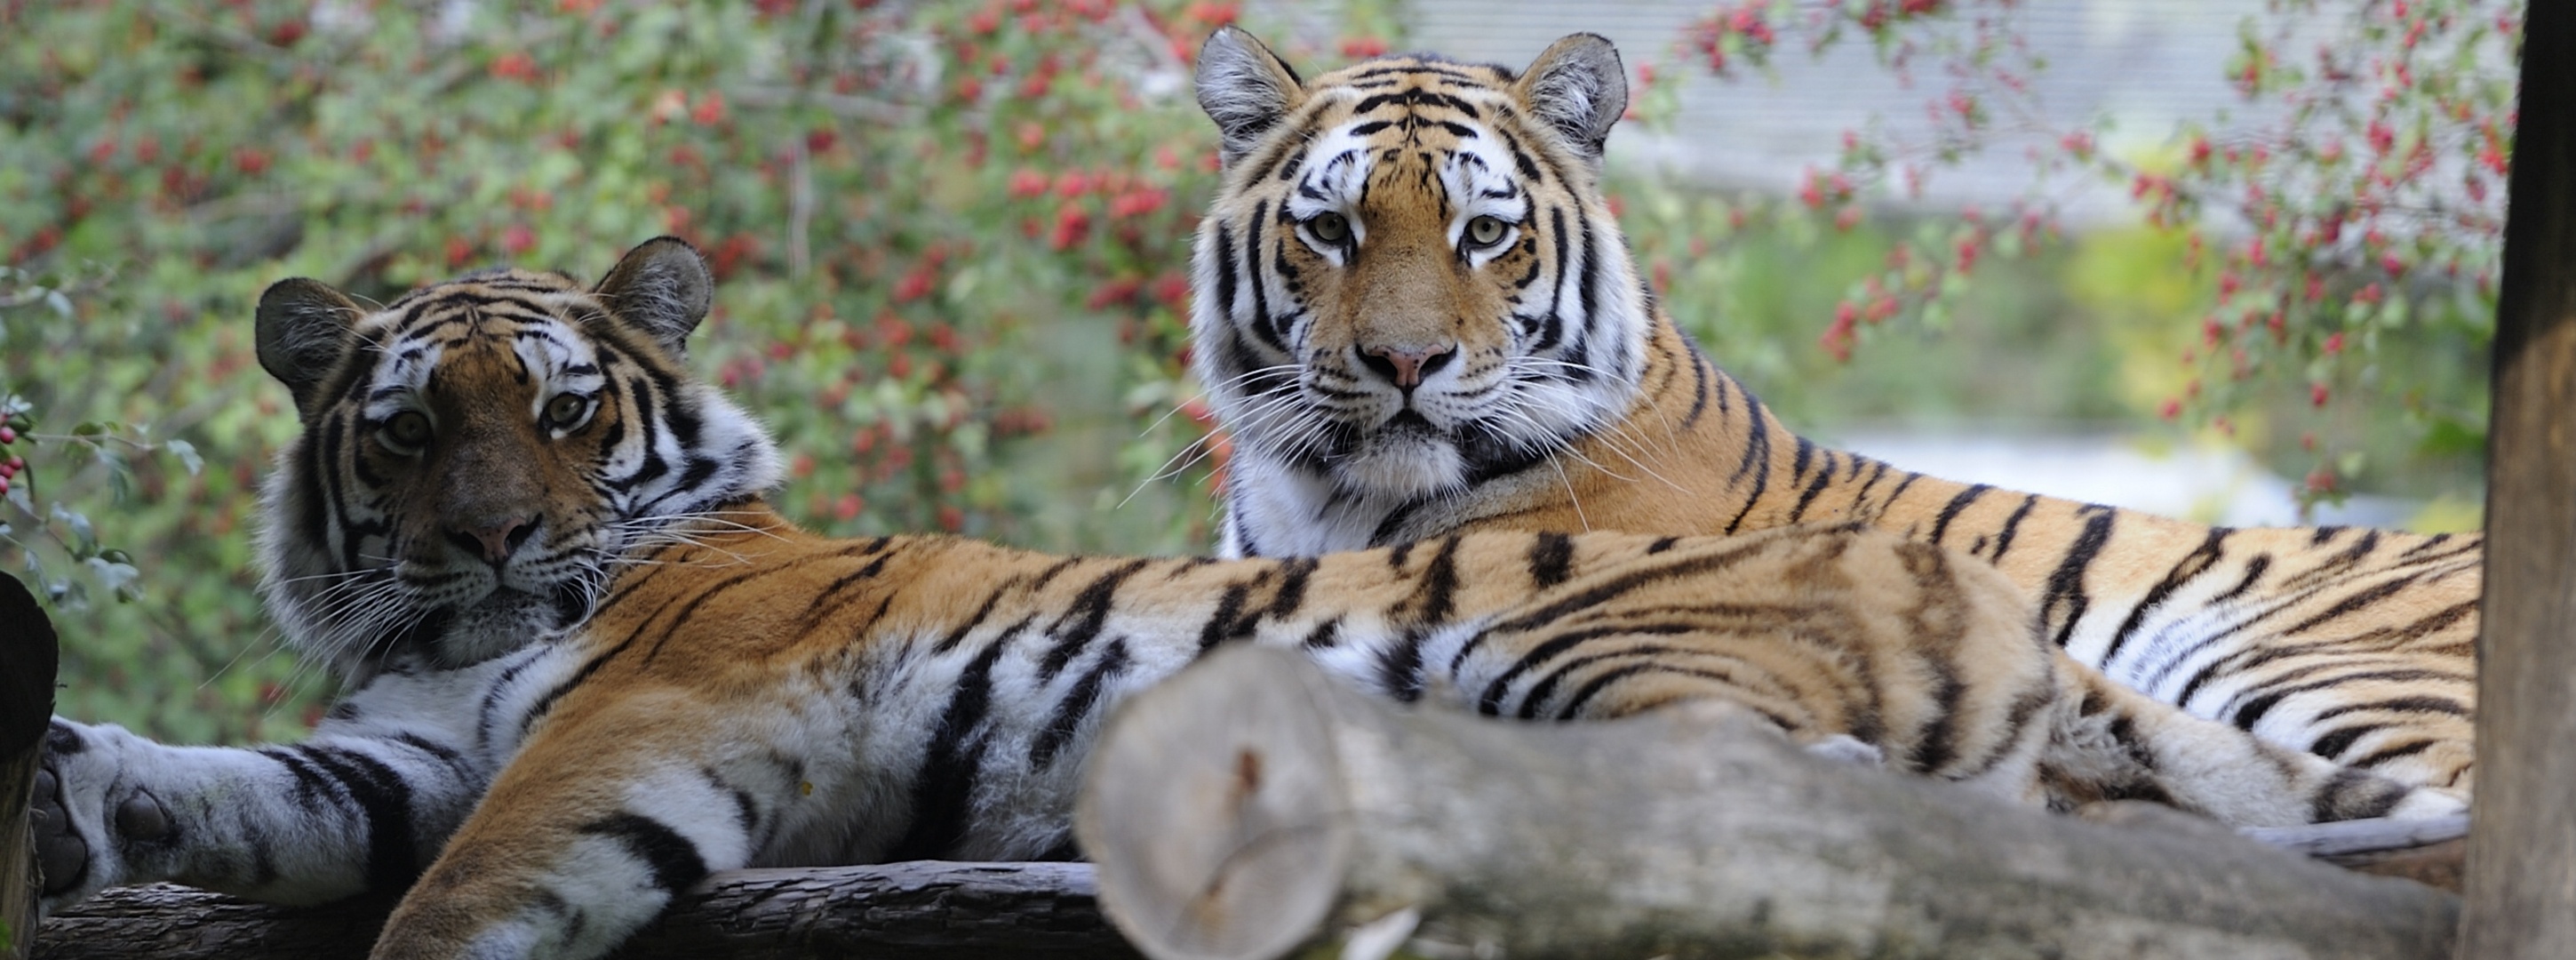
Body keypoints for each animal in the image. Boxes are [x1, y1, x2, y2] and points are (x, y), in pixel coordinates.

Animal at [35, 239, 2452, 957]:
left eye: (554, 414)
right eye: (404, 428)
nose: (491, 544)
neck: (446, 646)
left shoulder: (629, 721)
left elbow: (461, 908)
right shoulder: (397, 752)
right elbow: (237, 787)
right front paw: (75, 782)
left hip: (1588, 657)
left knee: (1794, 833)